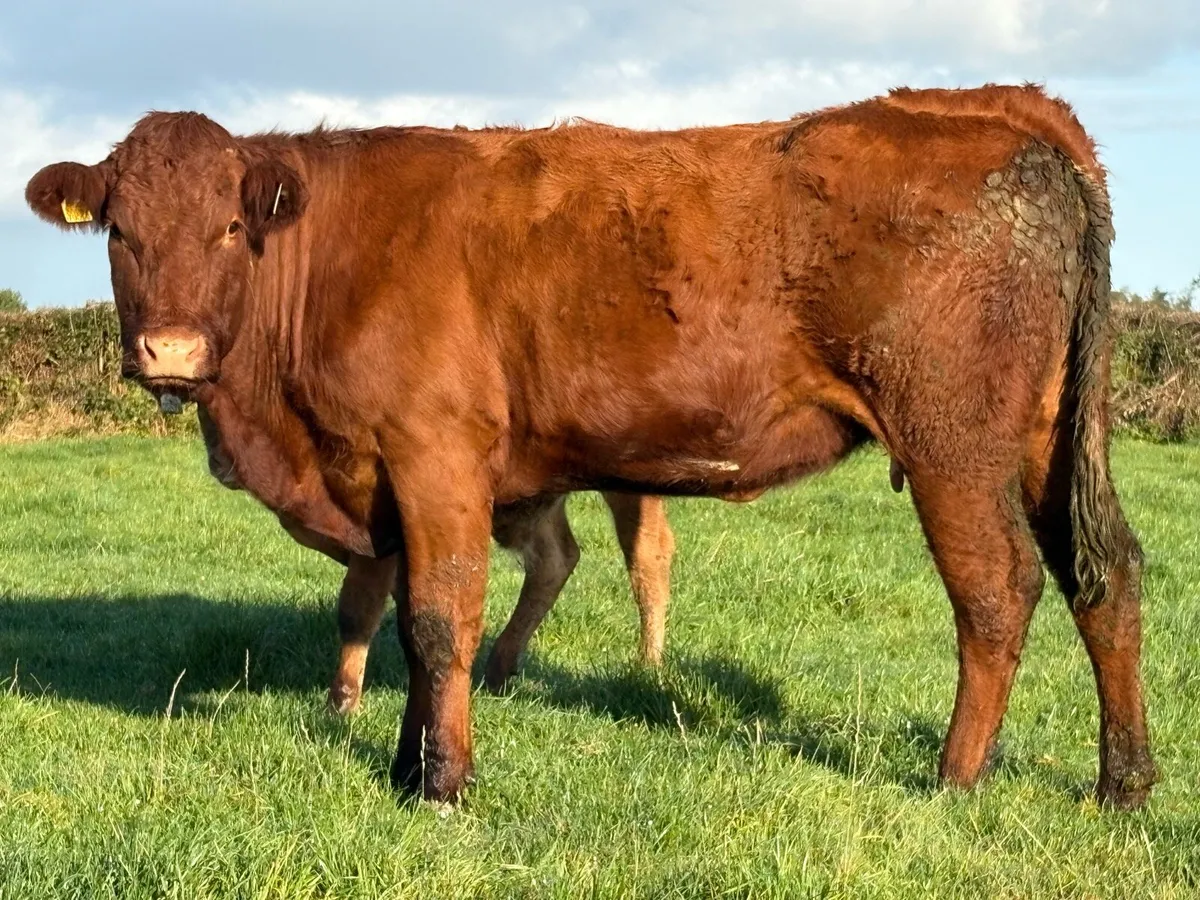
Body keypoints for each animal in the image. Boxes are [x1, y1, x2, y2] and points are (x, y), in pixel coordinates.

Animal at [200, 402, 676, 711]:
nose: (220, 463)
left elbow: (358, 609)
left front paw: (342, 703)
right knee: (555, 558)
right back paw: (499, 668)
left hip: (630, 484)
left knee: (648, 555)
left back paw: (647, 663)